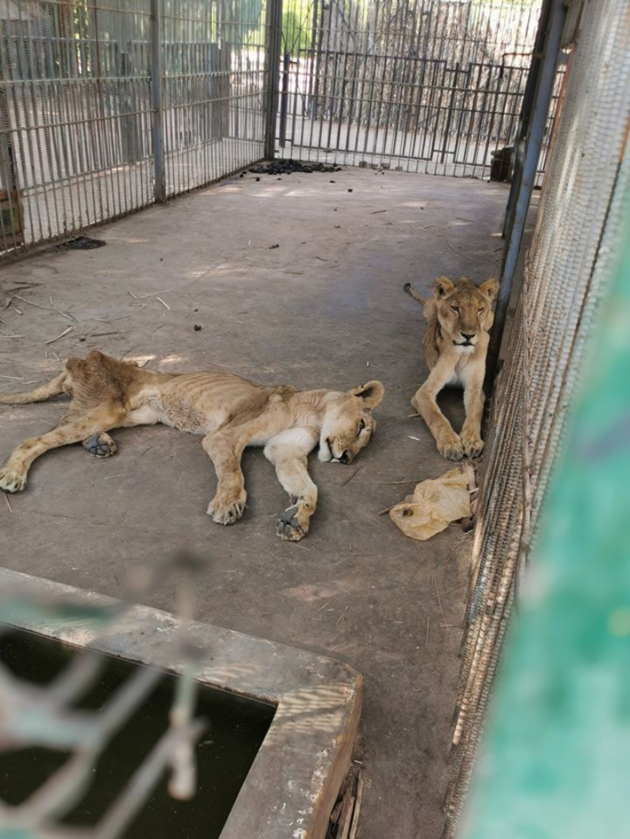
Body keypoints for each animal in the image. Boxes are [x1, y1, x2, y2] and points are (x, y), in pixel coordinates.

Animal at [1, 352, 386, 540]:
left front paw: (297, 519)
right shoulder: (223, 437)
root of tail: (79, 360)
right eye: (362, 426)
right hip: (106, 406)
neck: (312, 415)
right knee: (36, 438)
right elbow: (233, 473)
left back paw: (99, 443)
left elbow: (309, 489)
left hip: (134, 416)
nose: (346, 459)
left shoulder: (283, 451)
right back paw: (13, 476)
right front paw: (228, 505)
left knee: (68, 427)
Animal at [408, 276, 502, 460]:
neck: (462, 353)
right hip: (429, 308)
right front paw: (450, 444)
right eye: (455, 308)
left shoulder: (475, 388)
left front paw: (472, 440)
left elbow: (474, 412)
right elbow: (437, 416)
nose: (468, 335)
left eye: (480, 310)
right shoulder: (423, 393)